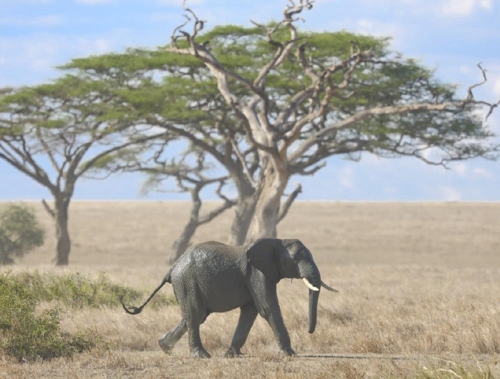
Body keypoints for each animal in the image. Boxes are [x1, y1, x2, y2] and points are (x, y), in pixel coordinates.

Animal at [121, 239, 338, 358]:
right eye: (294, 260)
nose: (309, 331)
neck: (277, 241)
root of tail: (172, 267)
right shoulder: (257, 273)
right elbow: (268, 308)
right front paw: (290, 353)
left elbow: (250, 312)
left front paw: (232, 354)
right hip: (187, 281)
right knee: (195, 314)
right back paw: (201, 356)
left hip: (186, 284)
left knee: (194, 316)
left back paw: (165, 347)